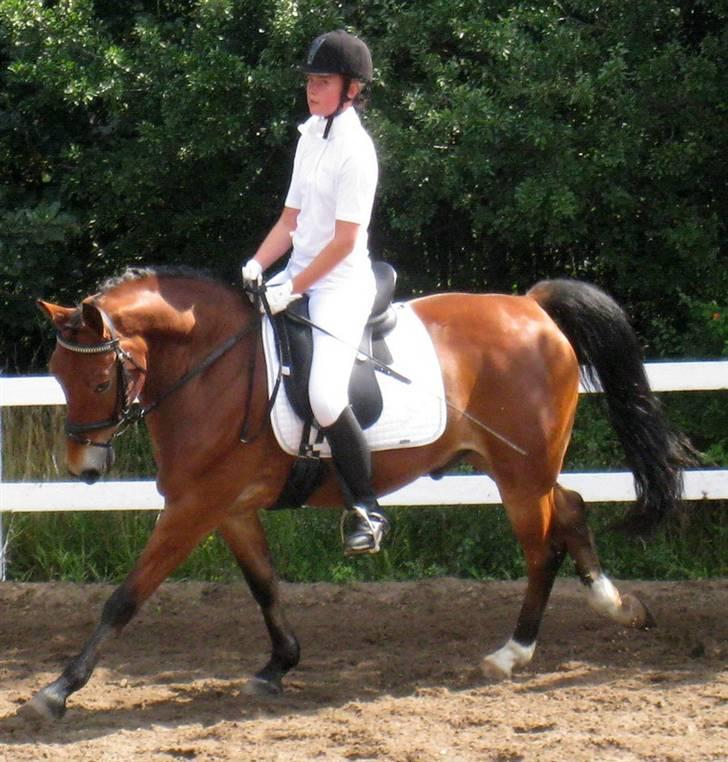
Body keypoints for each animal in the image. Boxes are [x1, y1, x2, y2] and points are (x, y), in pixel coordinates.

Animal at [26, 266, 693, 721]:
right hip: (522, 467)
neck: (212, 369)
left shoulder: (194, 508)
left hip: (519, 475)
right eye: (56, 375)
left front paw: (57, 689)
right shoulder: (230, 509)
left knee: (542, 549)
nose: (84, 467)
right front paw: (277, 666)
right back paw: (618, 606)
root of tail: (532, 308)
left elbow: (125, 598)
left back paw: (512, 652)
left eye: (100, 378)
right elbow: (265, 586)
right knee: (574, 512)